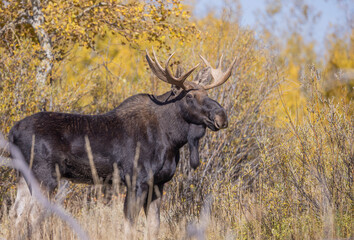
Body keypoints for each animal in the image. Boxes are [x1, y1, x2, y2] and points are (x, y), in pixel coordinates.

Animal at [9, 49, 235, 238]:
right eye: (189, 96)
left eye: (207, 94)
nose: (221, 116)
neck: (172, 140)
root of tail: (12, 132)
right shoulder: (136, 180)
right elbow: (130, 226)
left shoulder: (159, 183)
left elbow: (154, 227)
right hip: (44, 176)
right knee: (31, 216)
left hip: (24, 176)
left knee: (16, 215)